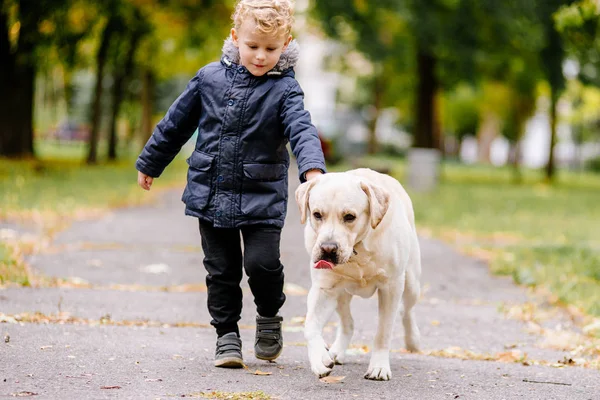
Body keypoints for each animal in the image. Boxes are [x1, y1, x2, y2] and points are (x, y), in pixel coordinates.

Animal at [296, 169, 422, 382]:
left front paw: (379, 367)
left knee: (407, 310)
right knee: (348, 323)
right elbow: (310, 325)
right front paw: (319, 359)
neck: (357, 250)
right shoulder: (323, 289)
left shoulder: (391, 287)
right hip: (340, 295)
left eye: (349, 217)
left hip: (411, 282)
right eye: (317, 214)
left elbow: (383, 332)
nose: (327, 248)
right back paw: (337, 351)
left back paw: (412, 340)